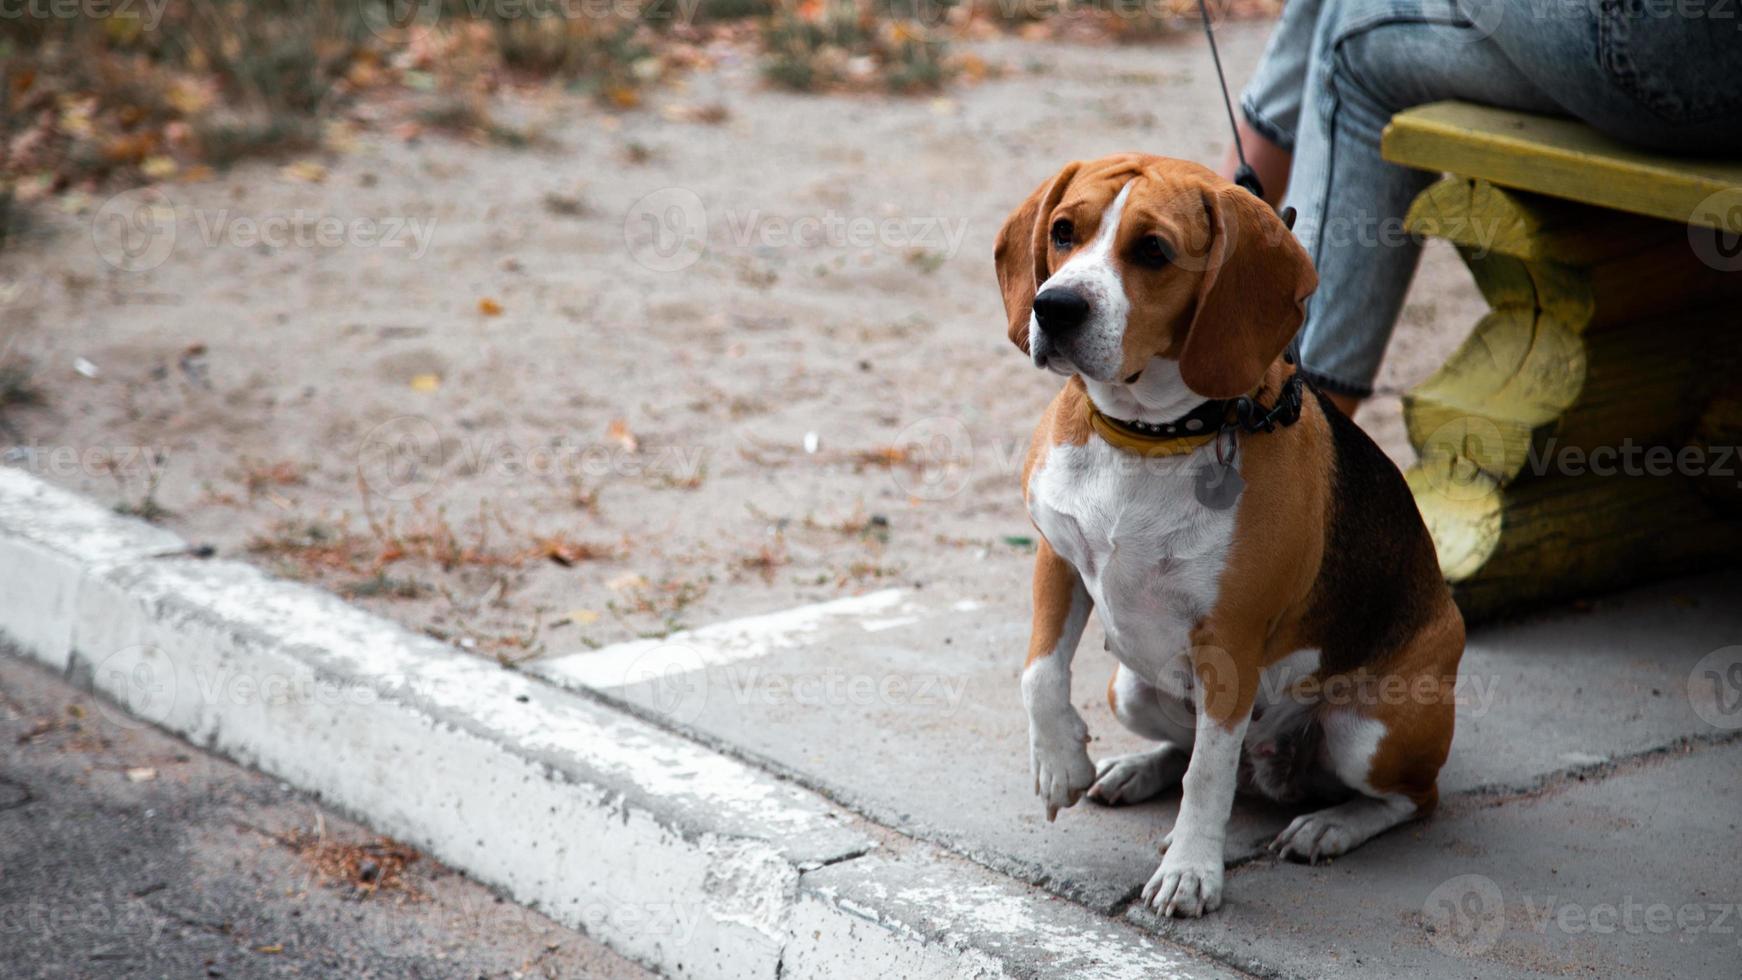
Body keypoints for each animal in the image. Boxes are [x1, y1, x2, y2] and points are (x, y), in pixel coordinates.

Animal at [1003, 154, 1463, 919]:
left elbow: (1208, 776)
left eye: (1153, 251)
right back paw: (1135, 769)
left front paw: (1192, 871)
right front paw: (1059, 765)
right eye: (1064, 231)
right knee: (1191, 749)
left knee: (1411, 799)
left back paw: (1329, 825)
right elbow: (1039, 672)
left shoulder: (1230, 643)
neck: (1148, 436)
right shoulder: (1057, 558)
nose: (1054, 307)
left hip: (1365, 734)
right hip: (1129, 688)